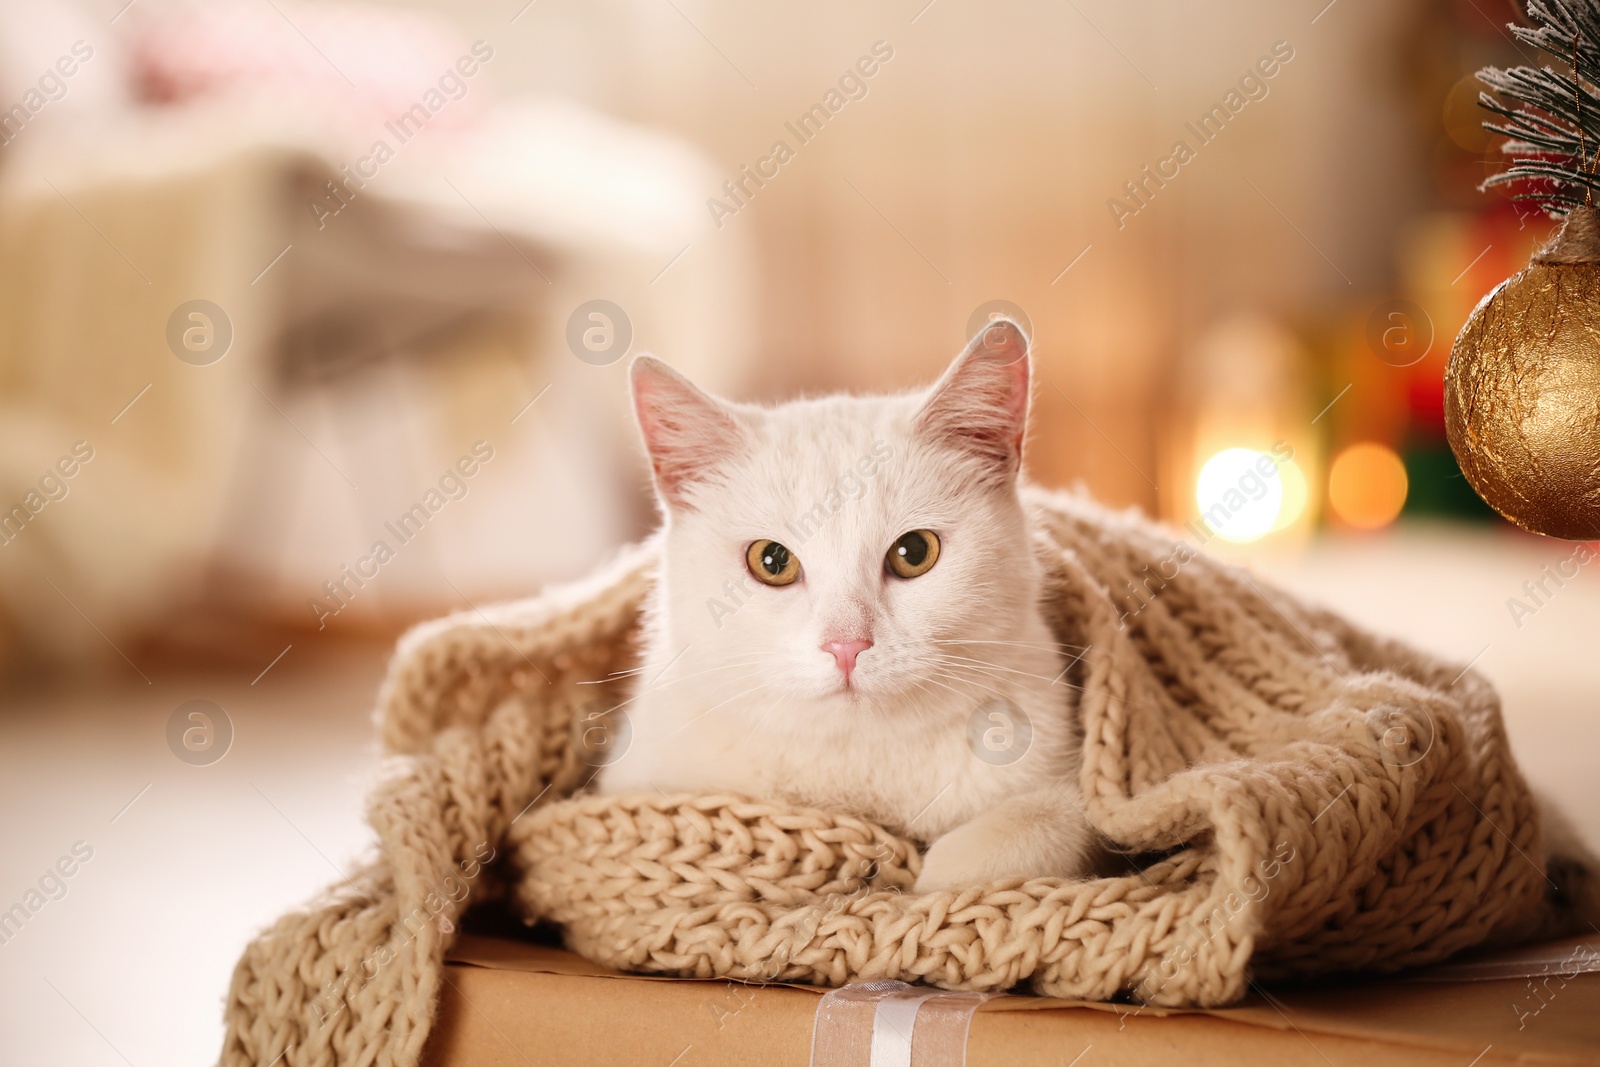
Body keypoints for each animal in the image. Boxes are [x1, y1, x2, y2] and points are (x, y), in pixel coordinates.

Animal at [595, 319, 1094, 895]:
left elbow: (1030, 828)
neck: (856, 765)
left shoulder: (1058, 778)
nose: (847, 645)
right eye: (771, 561)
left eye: (914, 551)